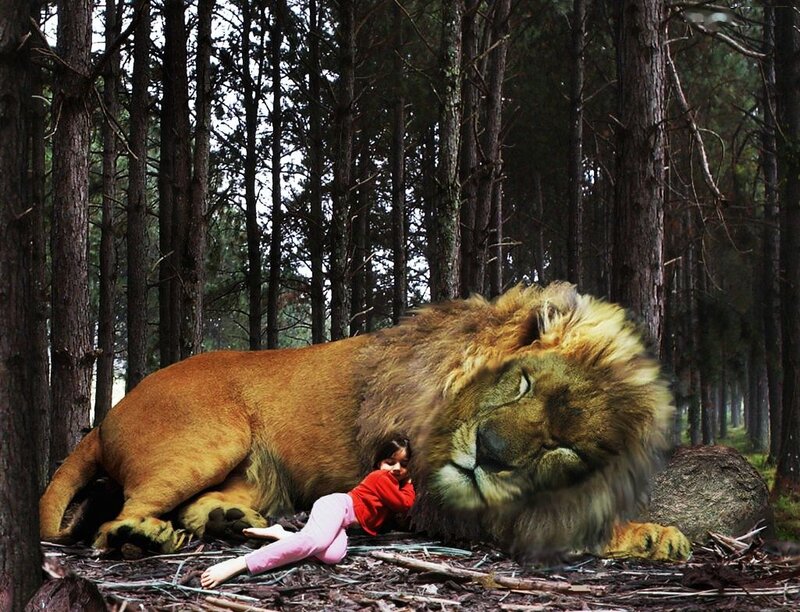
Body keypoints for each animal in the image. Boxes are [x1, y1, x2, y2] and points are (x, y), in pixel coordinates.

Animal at [40, 282, 690, 561]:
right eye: (523, 380)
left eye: (566, 447)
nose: (489, 452)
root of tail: (110, 412)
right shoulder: (431, 495)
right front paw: (649, 533)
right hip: (208, 439)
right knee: (116, 519)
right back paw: (139, 537)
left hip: (253, 470)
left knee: (200, 506)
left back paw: (228, 519)